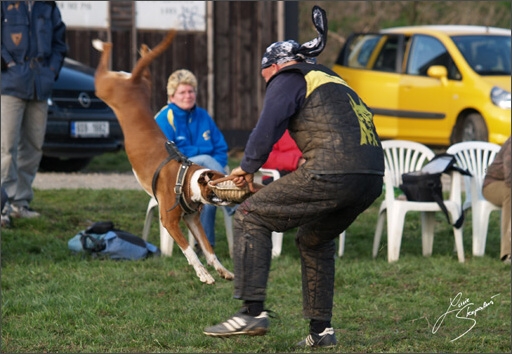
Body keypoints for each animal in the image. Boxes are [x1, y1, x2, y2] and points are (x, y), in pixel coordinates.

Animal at [92, 29, 234, 284]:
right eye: (220, 183)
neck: (185, 178)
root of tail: (133, 82)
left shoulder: (193, 221)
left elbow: (208, 249)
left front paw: (222, 269)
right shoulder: (170, 222)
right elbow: (190, 251)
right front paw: (203, 274)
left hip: (144, 84)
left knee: (144, 67)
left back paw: (144, 50)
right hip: (103, 87)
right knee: (104, 58)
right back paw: (101, 43)